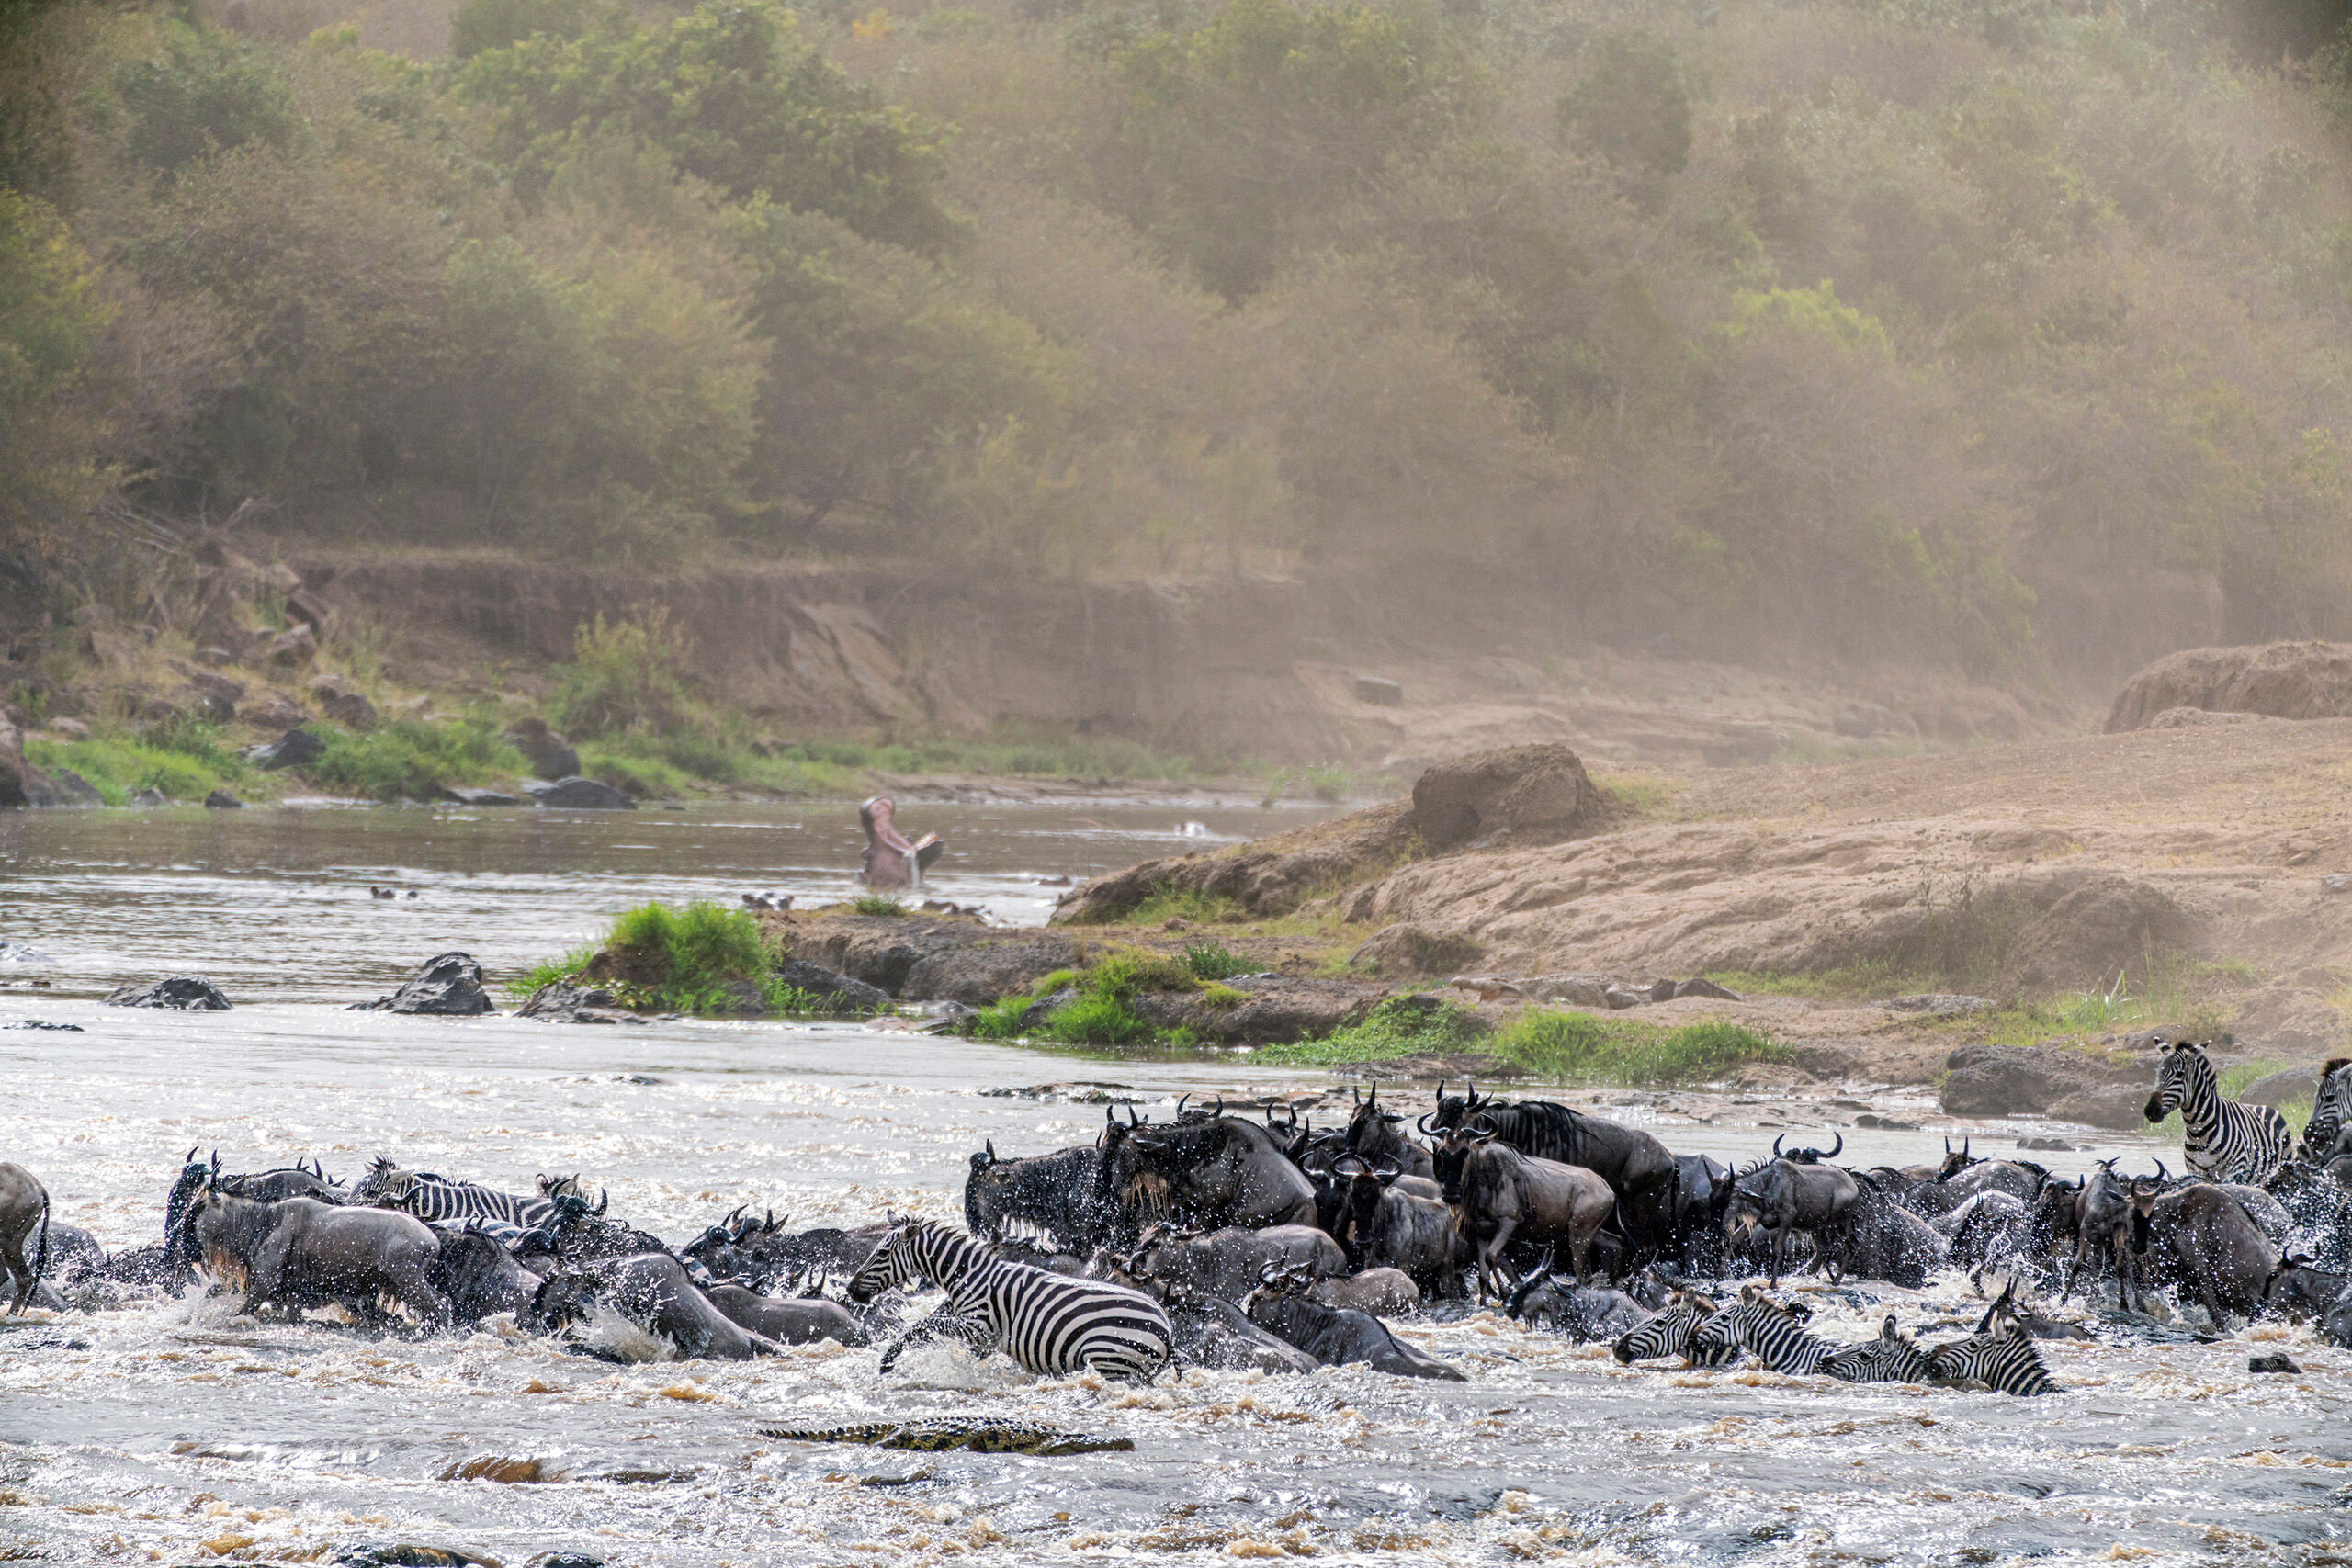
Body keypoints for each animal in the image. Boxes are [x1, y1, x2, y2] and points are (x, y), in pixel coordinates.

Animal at [846, 1217, 1173, 1381]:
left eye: (882, 1253)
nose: (850, 1290)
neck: (970, 1276)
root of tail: (1167, 1329)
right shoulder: (981, 1341)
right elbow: (929, 1328)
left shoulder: (979, 1328)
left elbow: (926, 1325)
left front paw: (887, 1361)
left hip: (1112, 1362)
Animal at [2145, 1041, 2293, 1185]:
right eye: (2159, 1073)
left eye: (2180, 1074)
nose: (2150, 1110)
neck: (2198, 1132)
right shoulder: (2197, 1172)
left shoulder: (2235, 1171)